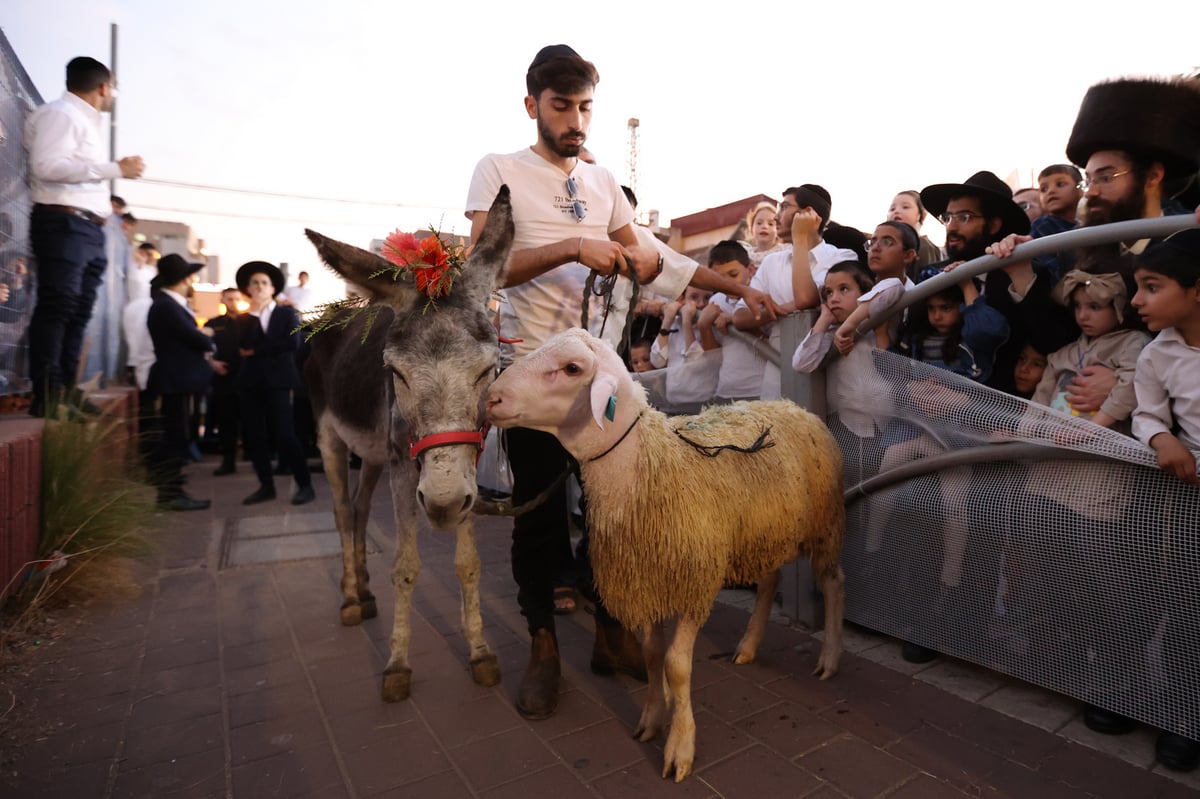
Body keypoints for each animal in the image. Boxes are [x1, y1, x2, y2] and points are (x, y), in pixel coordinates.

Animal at [484, 326, 844, 782]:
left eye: (571, 368)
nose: (491, 398)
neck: (648, 464)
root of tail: (794, 406)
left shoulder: (694, 584)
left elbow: (676, 665)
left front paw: (680, 746)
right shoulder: (648, 580)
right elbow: (654, 657)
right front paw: (653, 719)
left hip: (824, 525)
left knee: (833, 583)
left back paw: (829, 658)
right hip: (763, 531)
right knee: (770, 581)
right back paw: (748, 646)